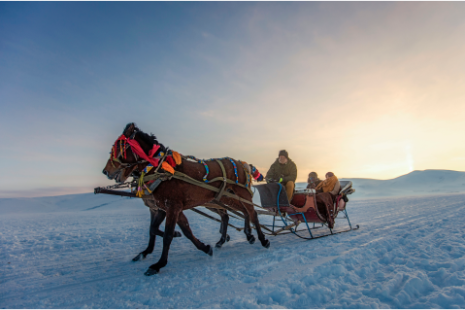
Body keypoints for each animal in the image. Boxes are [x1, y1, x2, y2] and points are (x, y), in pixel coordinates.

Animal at [101, 122, 268, 274]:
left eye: (118, 148)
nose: (105, 171)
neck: (162, 171)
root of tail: (242, 163)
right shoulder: (166, 208)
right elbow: (177, 230)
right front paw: (204, 247)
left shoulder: (171, 207)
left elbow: (167, 235)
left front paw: (158, 264)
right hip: (224, 198)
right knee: (241, 213)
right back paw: (246, 235)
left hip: (241, 193)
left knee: (252, 213)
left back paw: (262, 239)